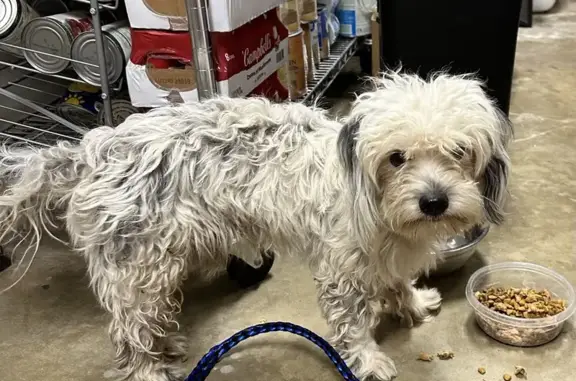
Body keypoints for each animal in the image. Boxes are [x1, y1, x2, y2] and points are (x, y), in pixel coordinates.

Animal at [0, 72, 512, 380]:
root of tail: (90, 152)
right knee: (130, 335)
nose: (433, 202)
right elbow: (353, 326)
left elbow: (397, 282)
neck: (377, 202)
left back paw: (168, 344)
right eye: (396, 157)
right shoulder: (342, 273)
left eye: (459, 151)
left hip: (158, 264)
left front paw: (412, 303)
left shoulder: (385, 258)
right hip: (137, 271)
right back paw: (149, 368)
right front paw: (368, 359)